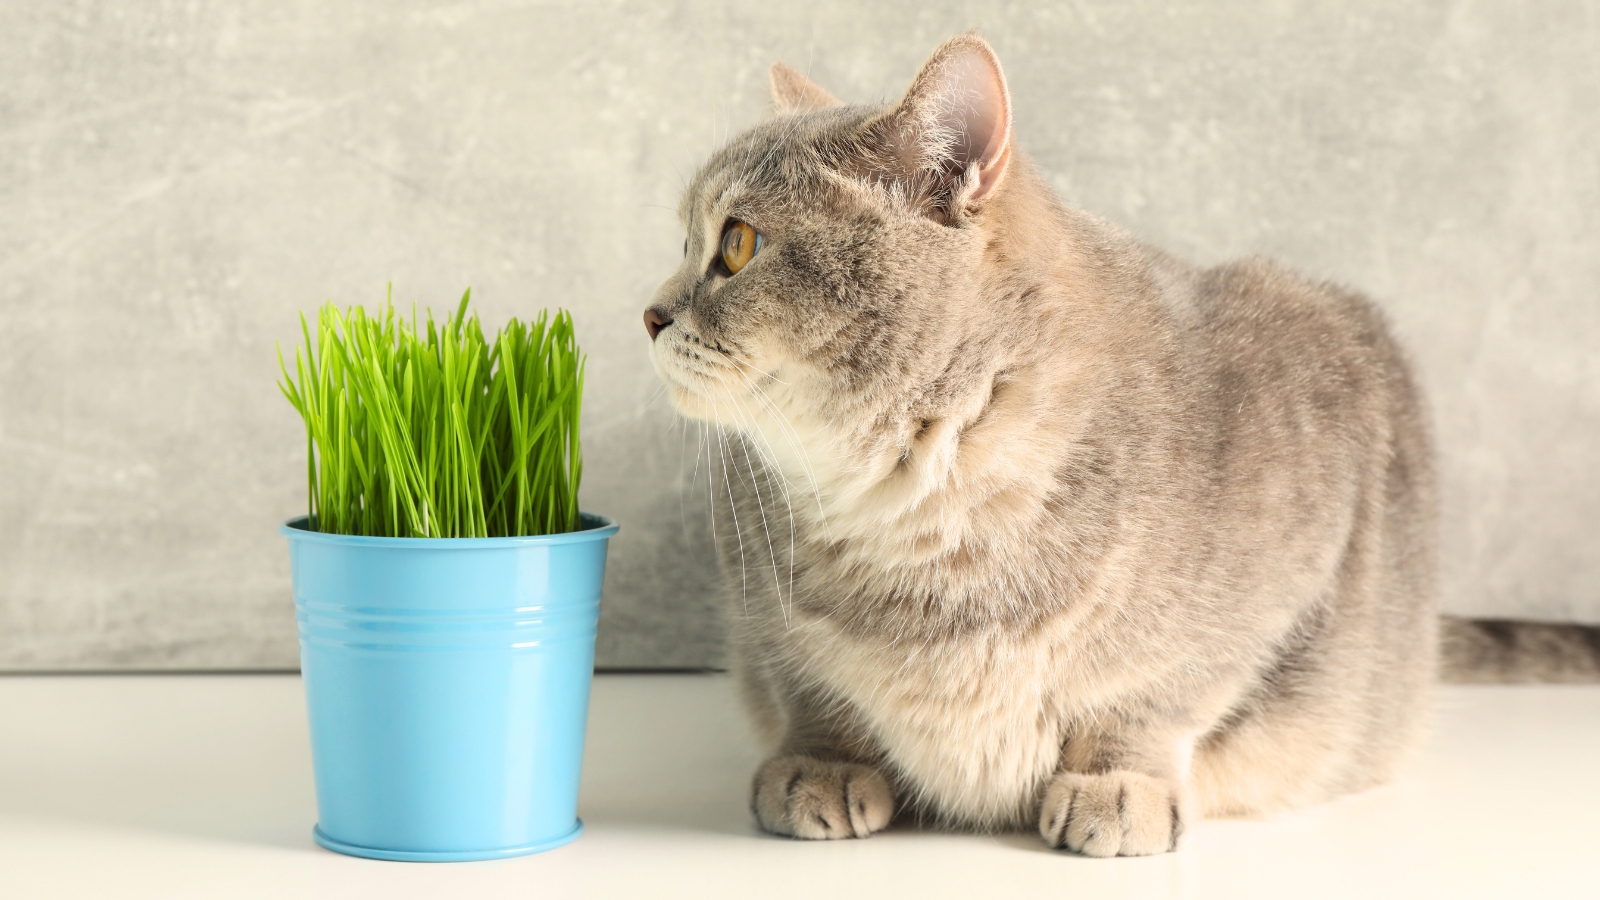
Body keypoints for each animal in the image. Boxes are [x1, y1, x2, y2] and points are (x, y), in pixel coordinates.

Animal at [640, 31, 1600, 851]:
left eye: (737, 244)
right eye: (686, 239)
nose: (648, 313)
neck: (922, 508)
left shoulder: (1281, 558)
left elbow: (1156, 696)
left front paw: (1116, 784)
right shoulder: (760, 610)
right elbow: (814, 688)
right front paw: (824, 764)